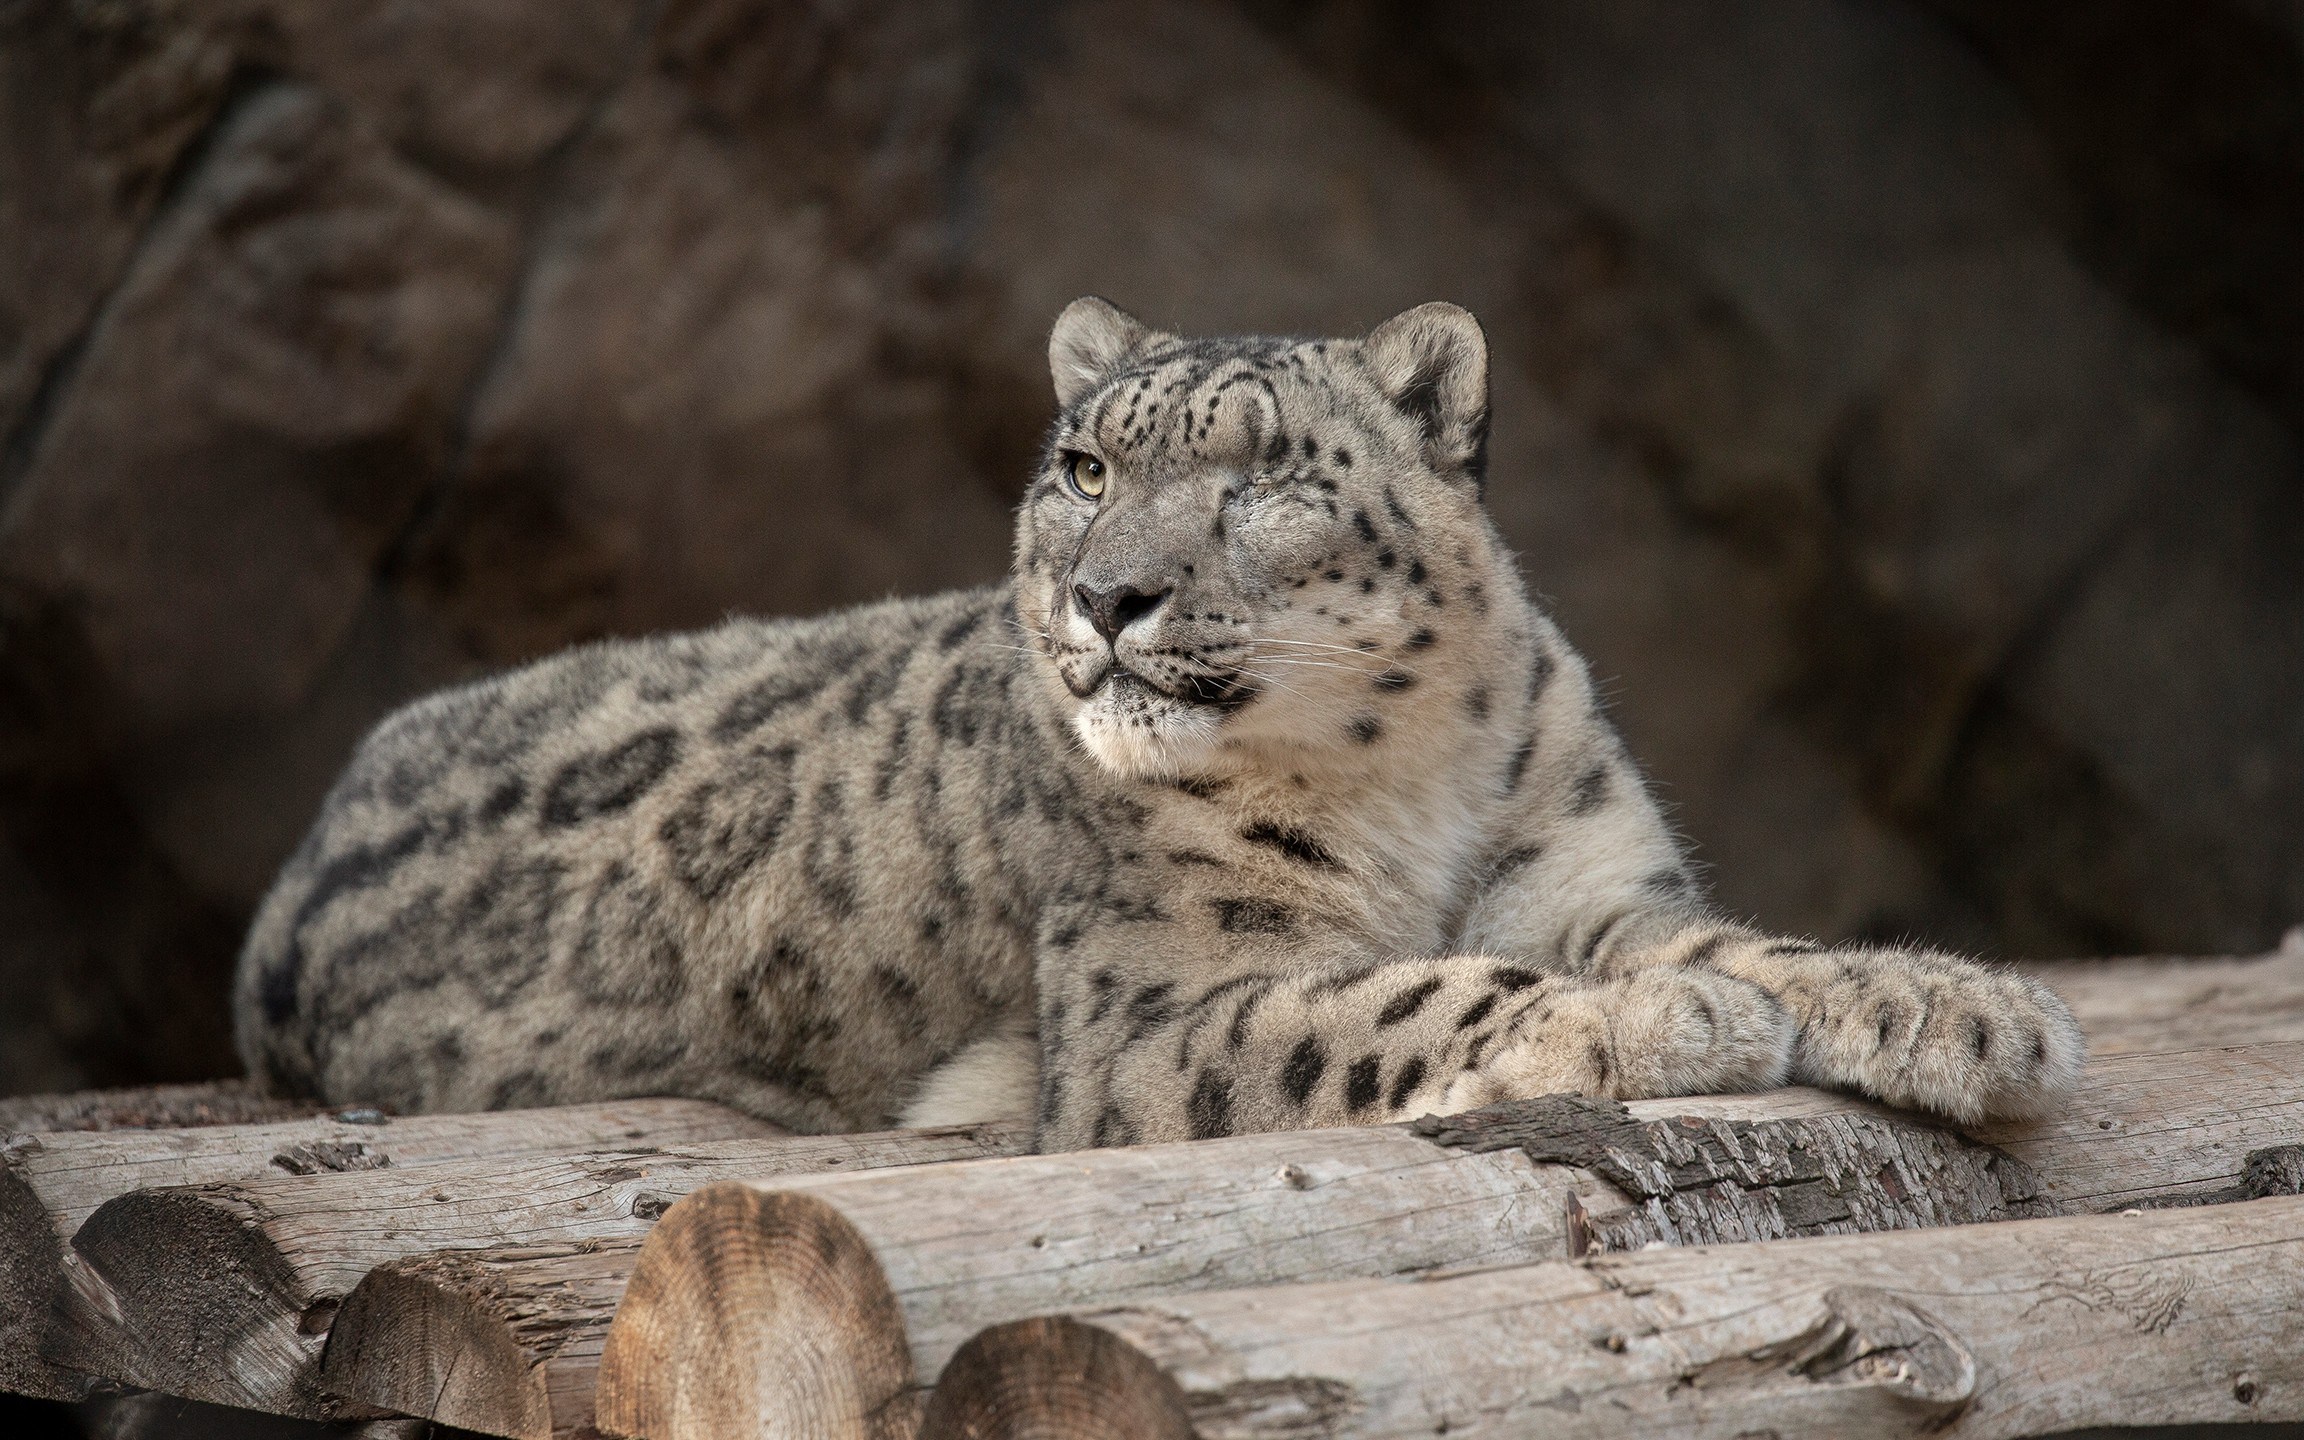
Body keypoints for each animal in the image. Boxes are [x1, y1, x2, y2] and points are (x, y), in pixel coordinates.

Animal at [233, 299, 2092, 1147]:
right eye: (1082, 467)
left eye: (1264, 474)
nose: (1106, 595)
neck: (1408, 786)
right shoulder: (1158, 1005)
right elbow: (1399, 996)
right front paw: (1661, 1028)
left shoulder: (1588, 881)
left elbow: (1736, 943)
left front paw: (1958, 1008)